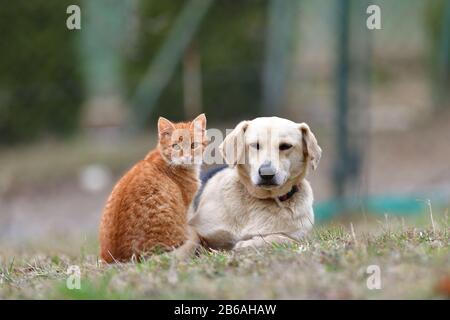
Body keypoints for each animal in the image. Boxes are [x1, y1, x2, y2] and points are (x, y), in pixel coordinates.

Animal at [188, 116, 322, 251]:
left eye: (285, 146)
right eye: (255, 145)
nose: (266, 174)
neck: (260, 200)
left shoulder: (299, 238)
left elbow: (282, 239)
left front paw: (247, 244)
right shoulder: (195, 228)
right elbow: (191, 240)